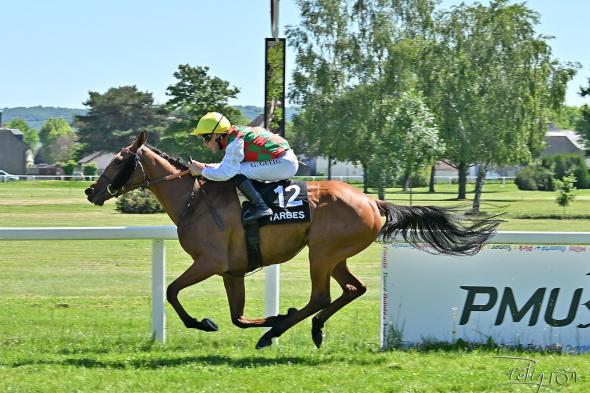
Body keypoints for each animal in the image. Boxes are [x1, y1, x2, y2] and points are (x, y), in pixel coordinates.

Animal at [84, 132, 500, 350]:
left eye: (118, 160)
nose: (91, 190)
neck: (194, 200)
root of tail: (372, 200)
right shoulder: (232, 271)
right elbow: (237, 317)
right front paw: (267, 316)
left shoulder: (210, 262)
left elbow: (172, 291)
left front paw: (206, 323)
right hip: (335, 254)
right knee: (353, 289)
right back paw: (308, 328)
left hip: (321, 253)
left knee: (321, 296)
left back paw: (277, 332)